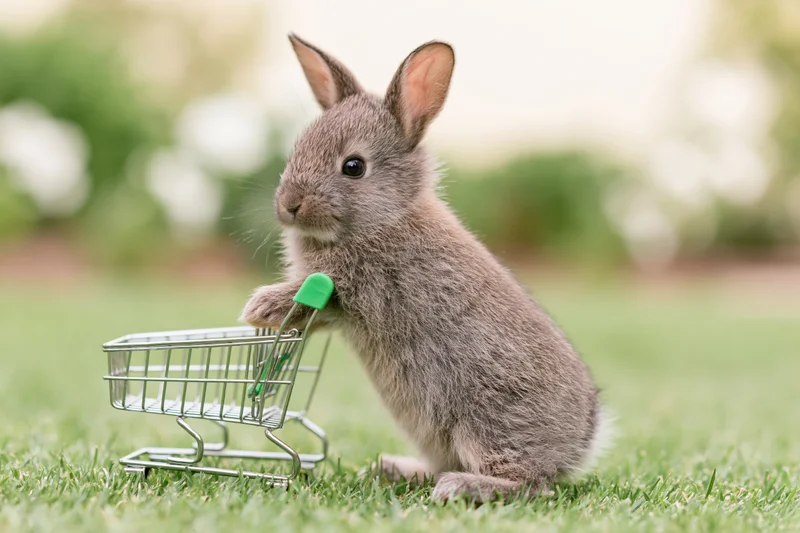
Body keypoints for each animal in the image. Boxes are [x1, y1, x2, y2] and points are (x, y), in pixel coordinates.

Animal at [241, 33, 611, 502]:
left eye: (353, 166)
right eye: (296, 149)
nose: (288, 205)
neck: (386, 218)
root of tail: (583, 440)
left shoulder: (364, 290)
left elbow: (314, 297)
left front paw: (259, 306)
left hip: (486, 424)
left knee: (532, 485)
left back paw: (459, 486)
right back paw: (396, 469)